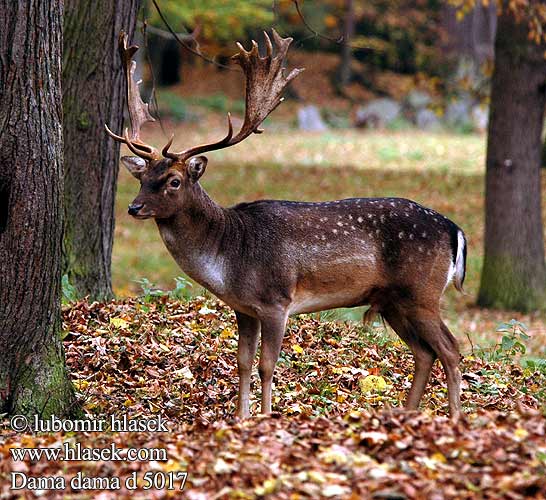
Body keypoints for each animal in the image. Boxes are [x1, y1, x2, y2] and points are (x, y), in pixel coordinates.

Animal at [107, 30, 468, 422]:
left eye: (173, 181)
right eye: (142, 178)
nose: (134, 207)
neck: (229, 254)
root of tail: (455, 230)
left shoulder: (276, 301)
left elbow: (267, 365)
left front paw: (265, 417)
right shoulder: (244, 308)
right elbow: (242, 363)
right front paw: (241, 418)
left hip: (422, 293)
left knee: (450, 349)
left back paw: (455, 419)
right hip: (393, 300)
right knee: (424, 352)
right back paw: (406, 414)